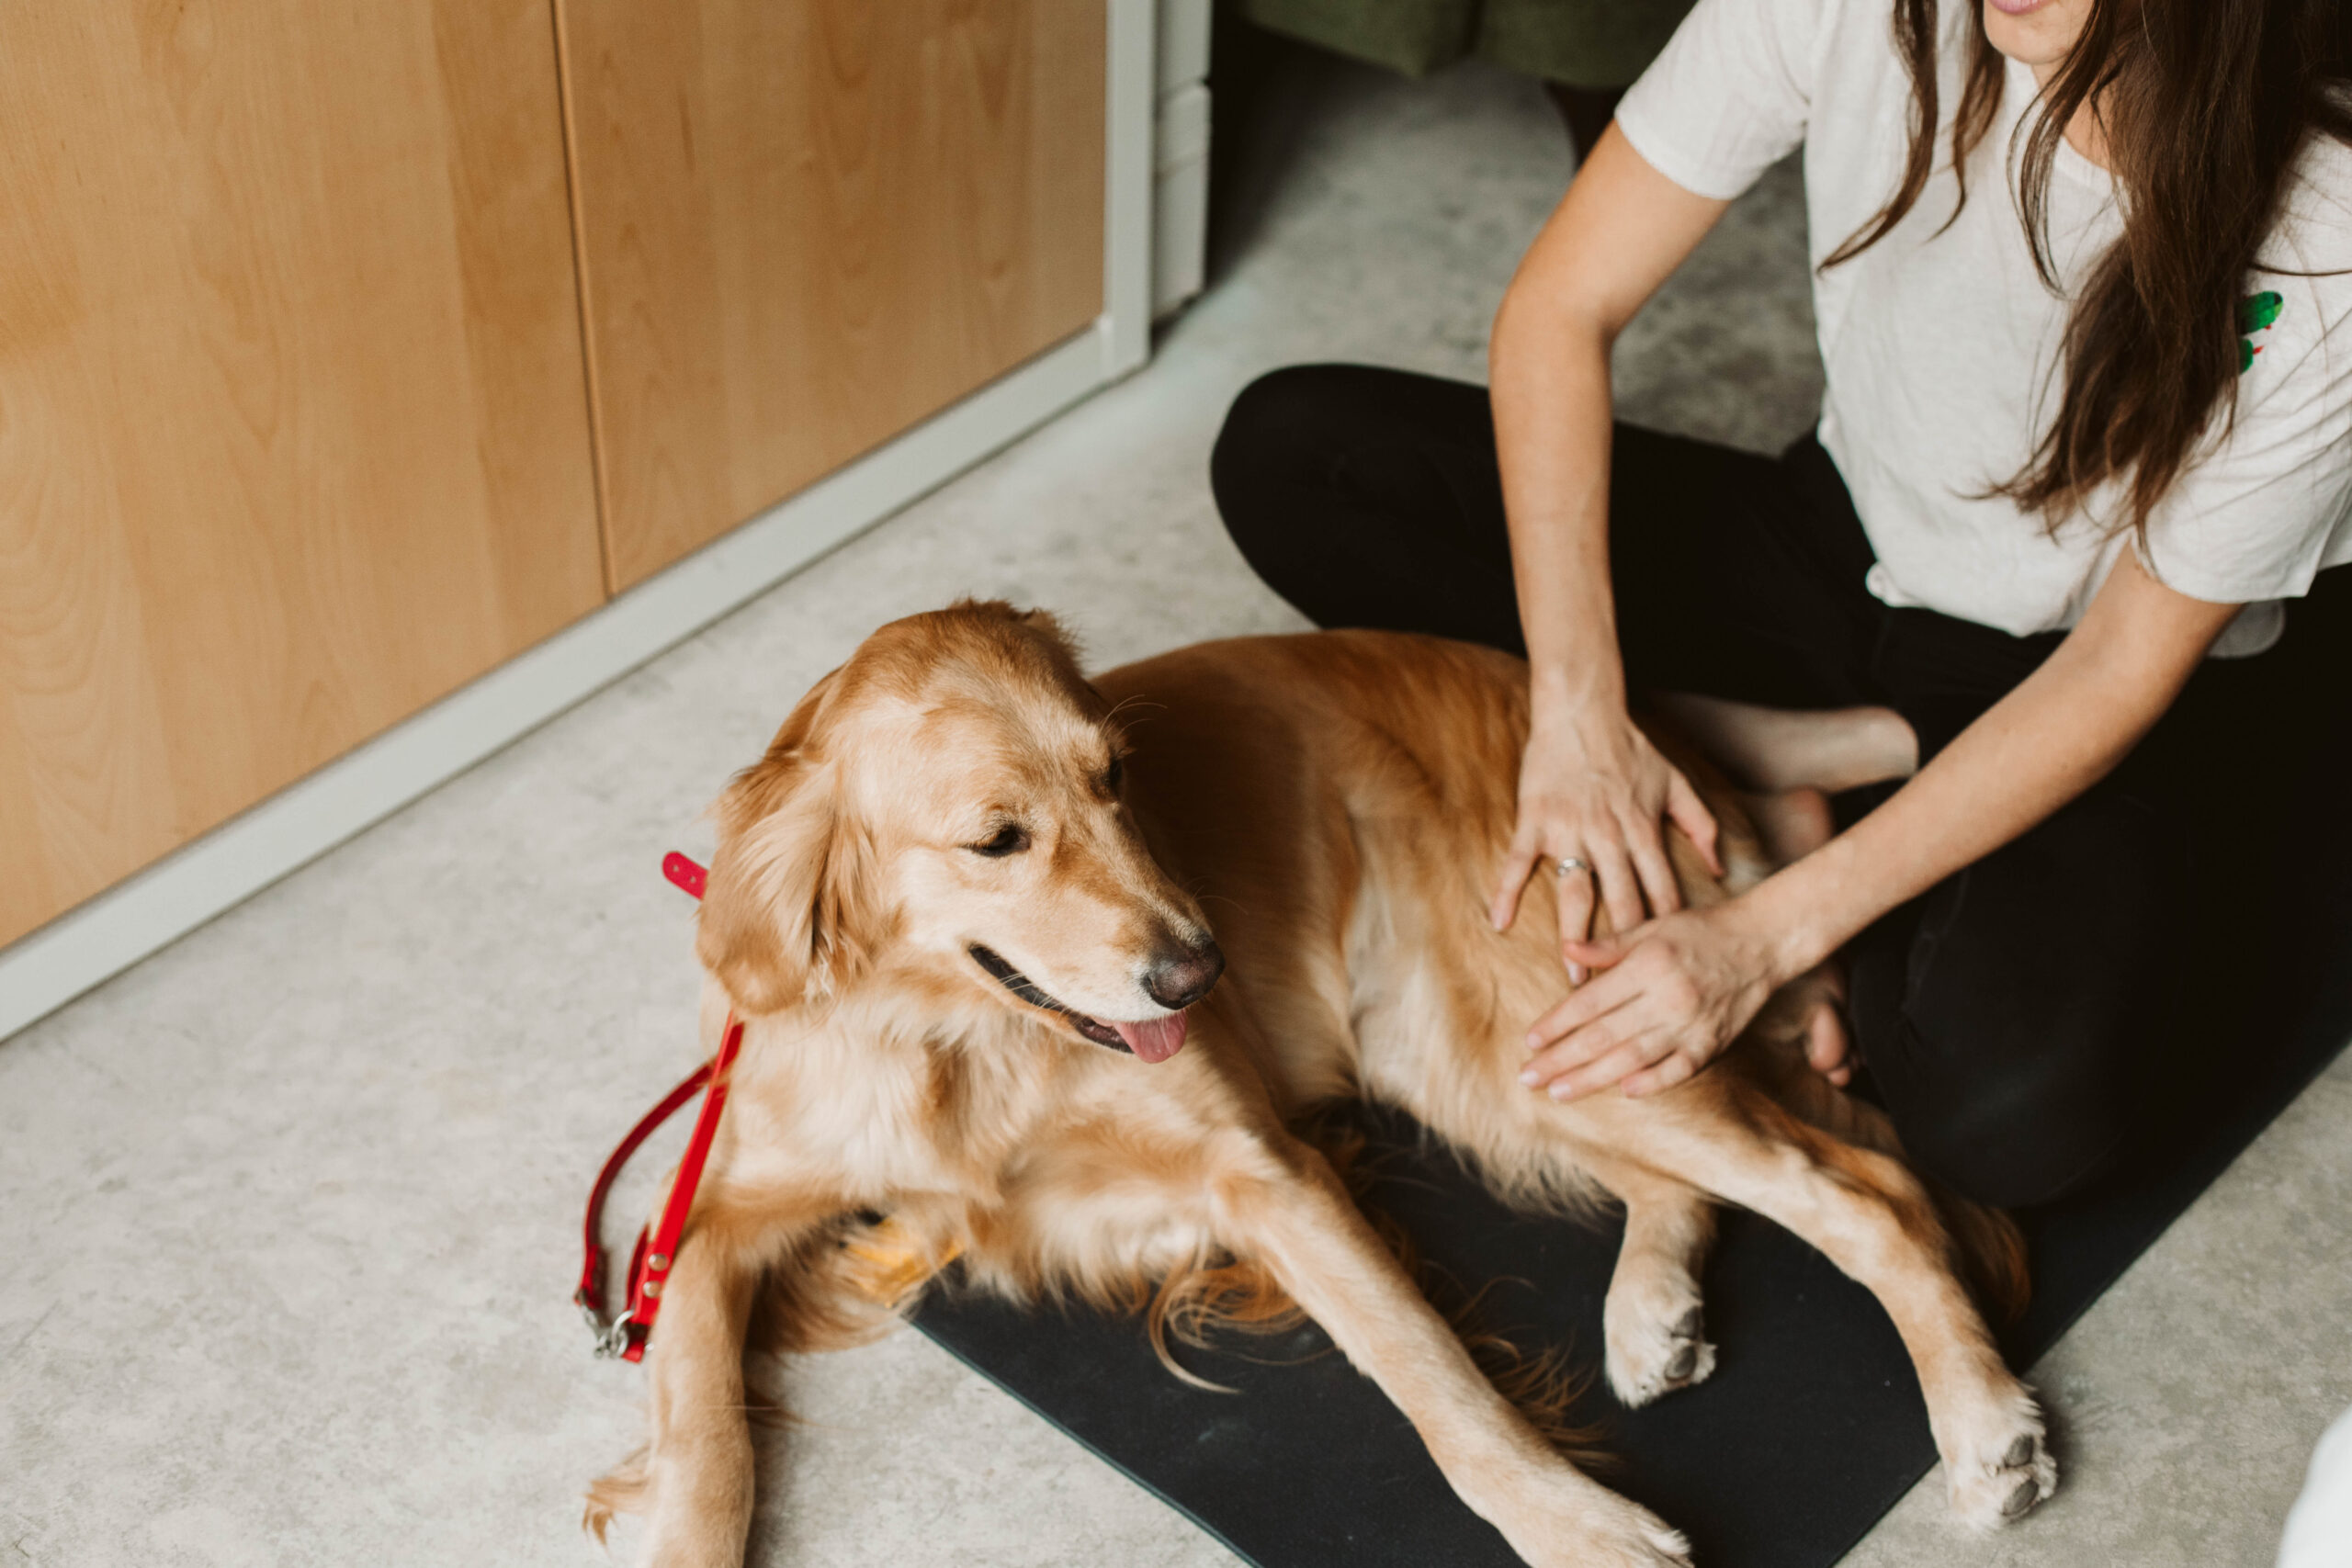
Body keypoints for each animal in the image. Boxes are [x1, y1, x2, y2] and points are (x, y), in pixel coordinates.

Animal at [593, 606, 2060, 1568]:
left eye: (1119, 777)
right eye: (996, 838)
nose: (1199, 969)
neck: (963, 1043)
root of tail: (1649, 738)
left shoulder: (1271, 1177)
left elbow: (1434, 1384)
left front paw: (1579, 1530)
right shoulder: (709, 1218)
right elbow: (702, 1428)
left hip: (1547, 1027)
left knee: (1866, 1190)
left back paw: (1983, 1421)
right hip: (1491, 1058)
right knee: (1697, 1184)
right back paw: (1653, 1309)